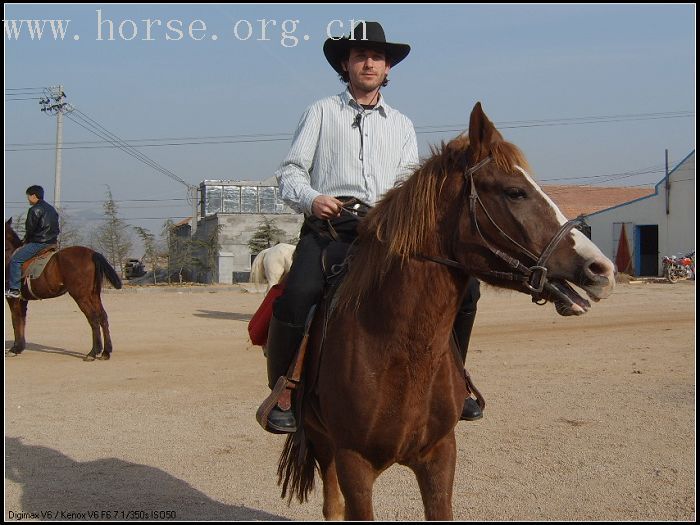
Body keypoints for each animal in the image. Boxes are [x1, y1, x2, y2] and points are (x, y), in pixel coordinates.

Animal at [5, 217, 123, 360]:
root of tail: (93, 253)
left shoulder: (13, 299)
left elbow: (15, 320)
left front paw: (14, 349)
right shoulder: (22, 300)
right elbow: (21, 320)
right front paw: (19, 347)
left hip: (81, 296)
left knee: (93, 318)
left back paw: (93, 353)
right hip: (94, 294)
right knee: (103, 317)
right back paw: (106, 352)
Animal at [276, 103, 616, 520]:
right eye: (515, 192)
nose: (601, 269)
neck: (396, 353)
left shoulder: (439, 457)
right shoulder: (354, 463)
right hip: (322, 443)